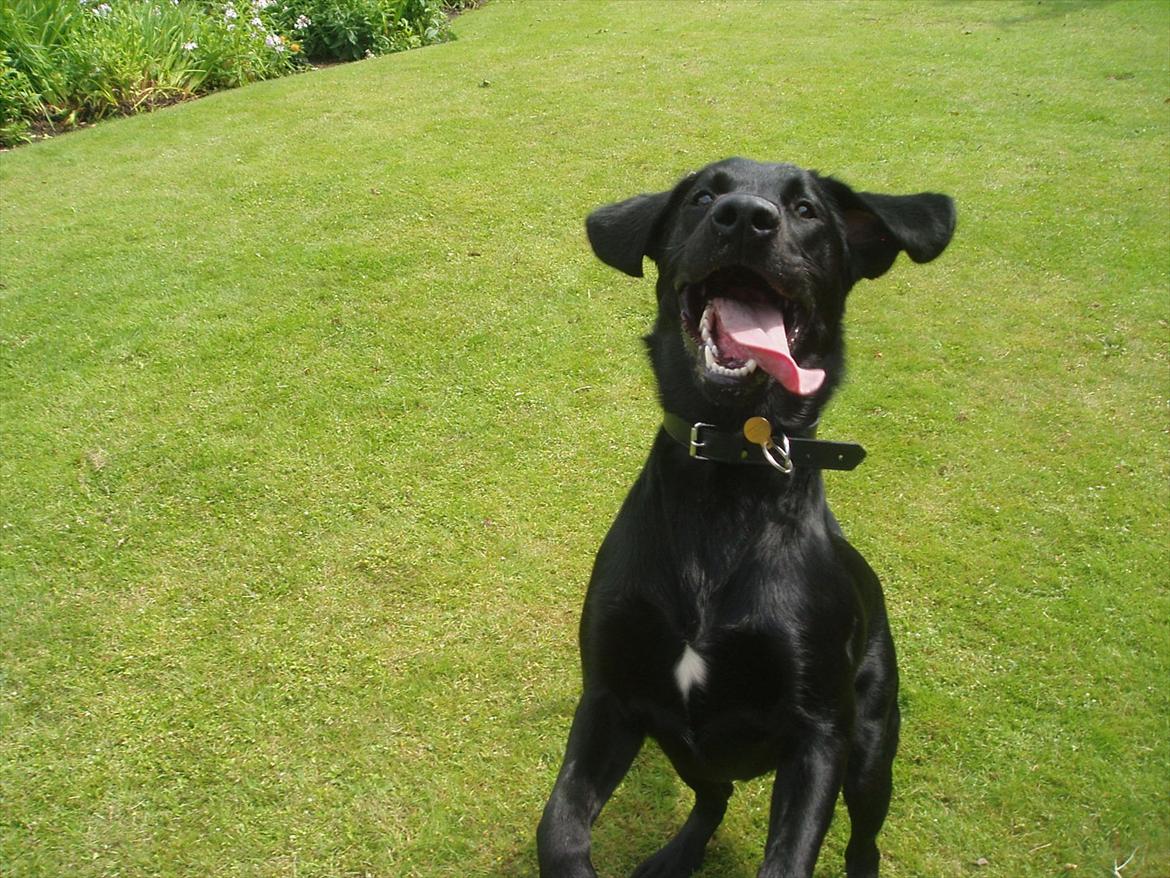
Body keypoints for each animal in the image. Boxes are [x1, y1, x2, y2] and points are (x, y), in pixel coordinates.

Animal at [535, 160, 954, 878]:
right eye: (703, 195)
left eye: (808, 210)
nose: (745, 218)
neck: (727, 480)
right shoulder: (611, 696)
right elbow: (558, 827)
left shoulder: (819, 733)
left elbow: (788, 860)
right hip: (682, 742)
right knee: (716, 795)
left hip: (871, 749)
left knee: (864, 839)